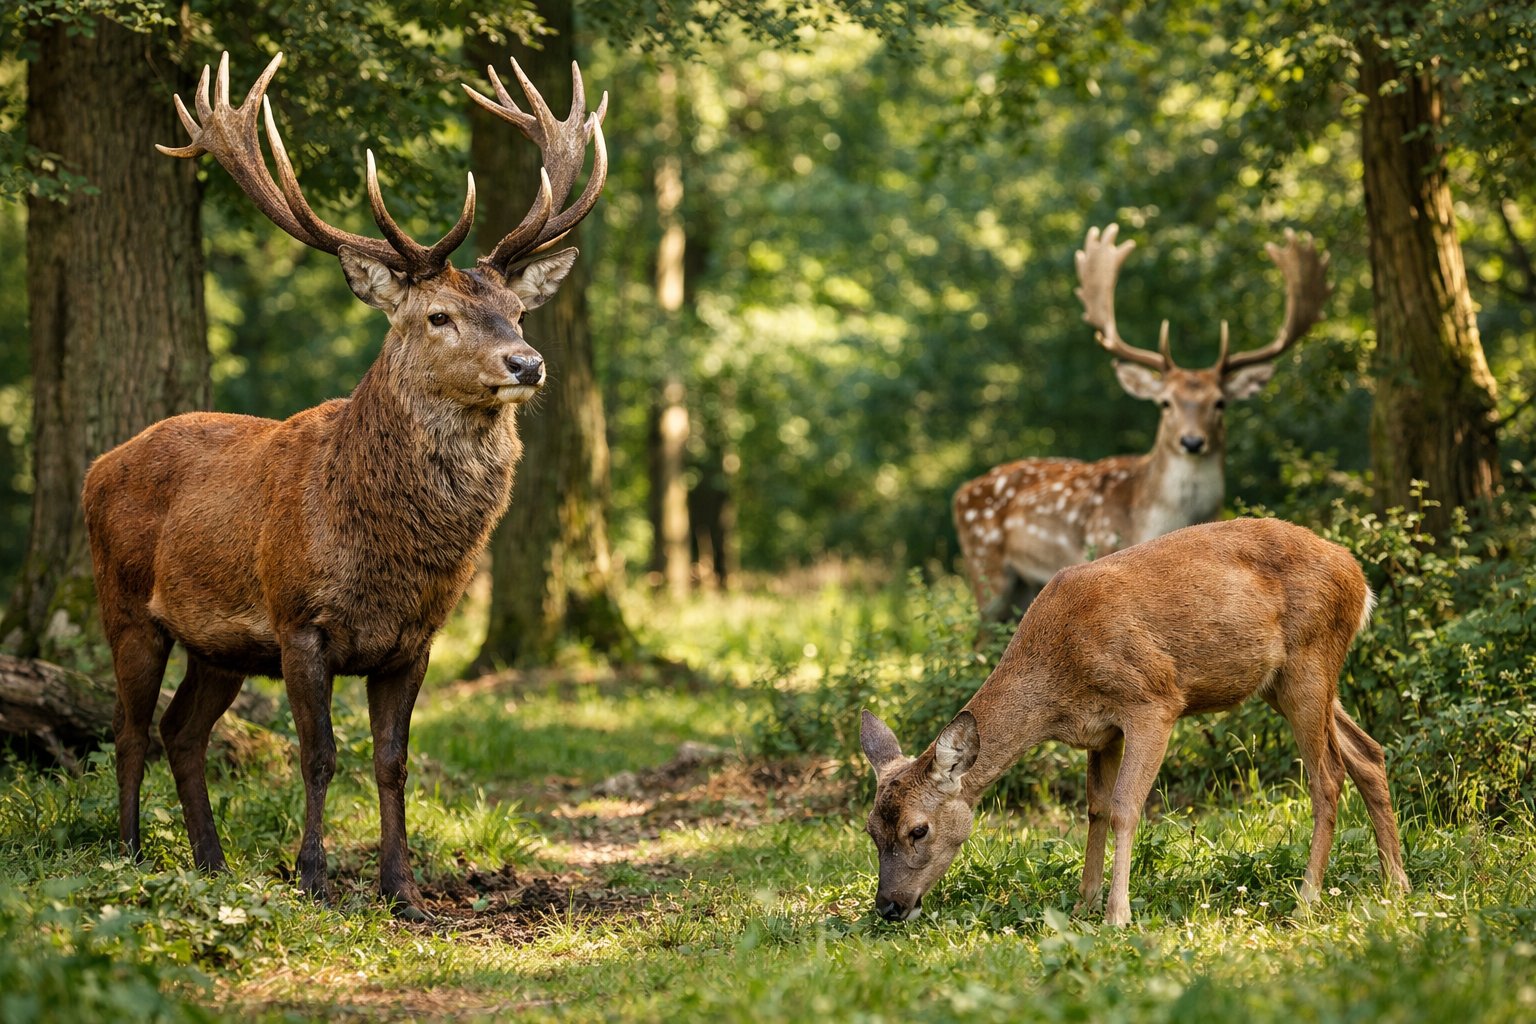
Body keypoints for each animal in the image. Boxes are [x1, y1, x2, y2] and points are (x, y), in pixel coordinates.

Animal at [80, 51, 607, 920]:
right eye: (437, 315)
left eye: (519, 310)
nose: (526, 363)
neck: (387, 553)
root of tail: (96, 466)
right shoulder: (300, 621)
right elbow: (320, 755)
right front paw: (313, 880)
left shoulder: (414, 641)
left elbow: (393, 762)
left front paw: (404, 891)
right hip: (124, 605)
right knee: (128, 729)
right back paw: (127, 855)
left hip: (221, 645)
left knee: (182, 731)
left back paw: (210, 864)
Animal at [860, 517, 1411, 927]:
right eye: (870, 831)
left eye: (918, 830)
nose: (889, 906)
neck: (1057, 680)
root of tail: (1359, 578)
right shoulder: (1099, 732)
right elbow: (1095, 808)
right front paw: (1082, 904)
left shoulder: (1153, 700)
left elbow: (1126, 807)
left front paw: (1116, 914)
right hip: (1285, 682)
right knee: (1368, 752)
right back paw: (1396, 885)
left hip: (1308, 662)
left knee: (1327, 776)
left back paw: (1308, 898)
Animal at [954, 224, 1330, 628]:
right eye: (1165, 402)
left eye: (1220, 402)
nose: (1192, 441)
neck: (1155, 518)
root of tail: (960, 494)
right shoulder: (1104, 544)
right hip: (986, 569)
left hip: (1023, 584)